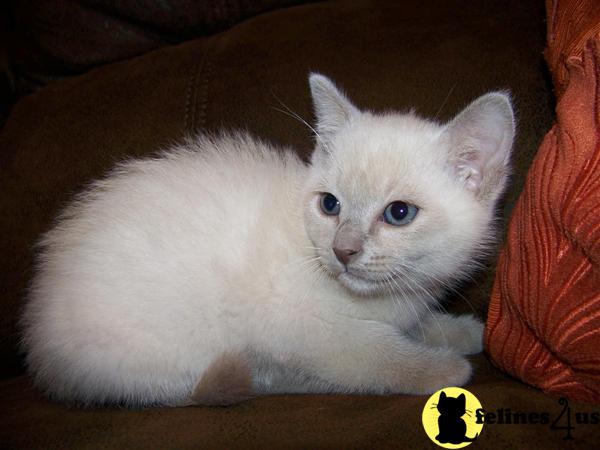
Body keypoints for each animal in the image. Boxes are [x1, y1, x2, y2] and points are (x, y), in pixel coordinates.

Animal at [18, 74, 516, 408]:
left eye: (399, 213)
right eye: (330, 205)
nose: (343, 251)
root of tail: (41, 351)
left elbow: (413, 326)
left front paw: (463, 331)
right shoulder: (305, 330)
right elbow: (375, 355)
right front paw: (441, 368)